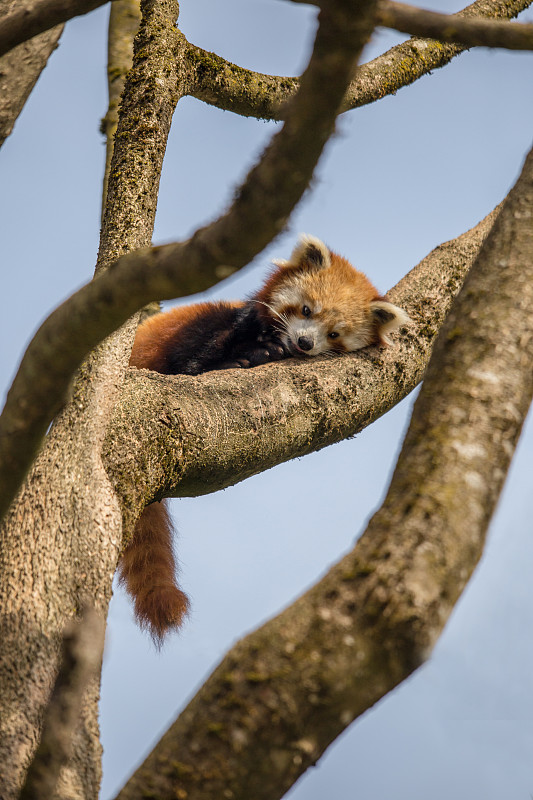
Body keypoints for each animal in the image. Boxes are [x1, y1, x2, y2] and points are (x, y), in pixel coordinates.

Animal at [121, 233, 408, 644]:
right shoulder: (235, 323)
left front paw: (265, 352)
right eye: (306, 309)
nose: (304, 343)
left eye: (334, 333)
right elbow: (196, 361)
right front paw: (251, 353)